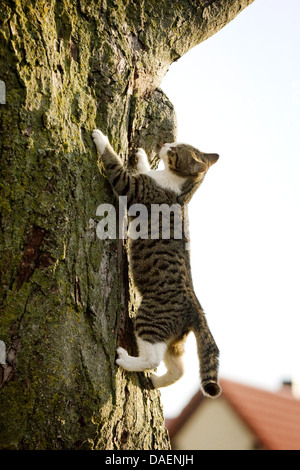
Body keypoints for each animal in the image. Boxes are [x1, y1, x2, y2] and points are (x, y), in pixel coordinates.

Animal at [92, 127, 221, 396]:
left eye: (175, 150)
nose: (164, 144)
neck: (181, 191)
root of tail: (196, 309)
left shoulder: (131, 187)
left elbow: (116, 165)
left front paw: (101, 138)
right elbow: (141, 168)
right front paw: (141, 156)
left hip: (150, 318)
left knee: (152, 358)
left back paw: (126, 360)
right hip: (175, 341)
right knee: (179, 369)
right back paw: (155, 382)